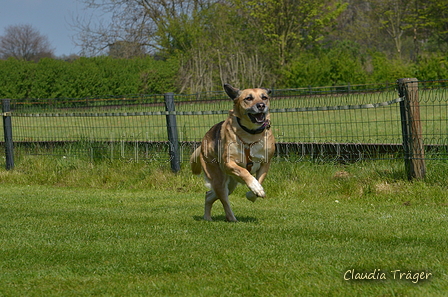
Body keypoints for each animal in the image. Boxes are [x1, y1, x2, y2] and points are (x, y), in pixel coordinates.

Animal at [190, 83, 274, 220]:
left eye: (264, 97)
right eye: (248, 98)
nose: (261, 105)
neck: (251, 134)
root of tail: (202, 143)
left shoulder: (265, 163)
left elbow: (259, 180)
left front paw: (254, 192)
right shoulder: (228, 163)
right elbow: (244, 171)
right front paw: (255, 186)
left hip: (230, 184)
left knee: (209, 195)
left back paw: (207, 217)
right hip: (219, 179)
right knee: (224, 200)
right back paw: (232, 219)